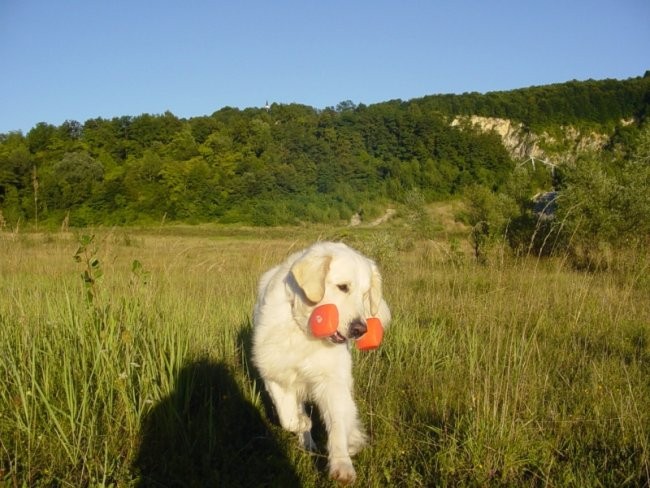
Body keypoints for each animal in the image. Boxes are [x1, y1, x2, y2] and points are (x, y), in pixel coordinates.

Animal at [251, 242, 388, 482]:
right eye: (343, 287)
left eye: (365, 294)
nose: (360, 329)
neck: (305, 330)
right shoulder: (275, 375)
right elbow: (289, 418)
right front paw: (303, 423)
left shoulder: (332, 380)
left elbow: (337, 422)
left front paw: (342, 463)